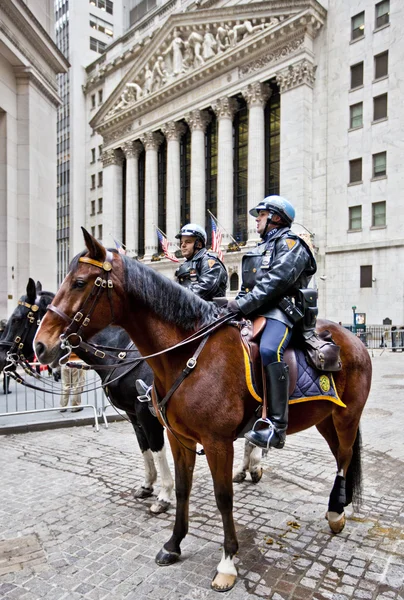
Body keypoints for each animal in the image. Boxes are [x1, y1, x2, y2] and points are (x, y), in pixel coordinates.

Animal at [34, 232, 372, 592]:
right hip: (325, 418)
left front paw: (227, 561)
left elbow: (223, 497)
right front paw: (173, 543)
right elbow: (183, 488)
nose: (41, 345)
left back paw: (335, 512)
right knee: (339, 457)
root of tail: (353, 339)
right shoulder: (177, 437)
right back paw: (336, 504)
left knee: (344, 457)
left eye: (79, 282)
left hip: (347, 417)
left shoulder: (216, 442)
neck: (186, 355)